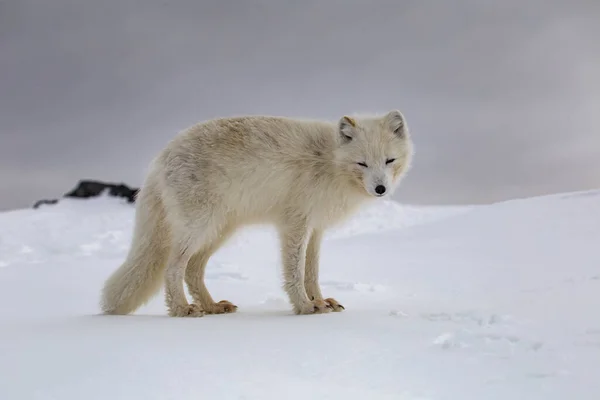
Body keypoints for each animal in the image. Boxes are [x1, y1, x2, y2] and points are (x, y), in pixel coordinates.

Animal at [101, 109, 414, 316]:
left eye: (389, 160)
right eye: (362, 163)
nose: (380, 189)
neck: (329, 161)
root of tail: (162, 155)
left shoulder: (316, 228)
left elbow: (312, 272)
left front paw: (321, 301)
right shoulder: (294, 225)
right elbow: (295, 272)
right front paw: (304, 306)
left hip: (218, 231)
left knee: (193, 270)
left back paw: (211, 306)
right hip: (200, 228)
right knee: (174, 268)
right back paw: (182, 308)